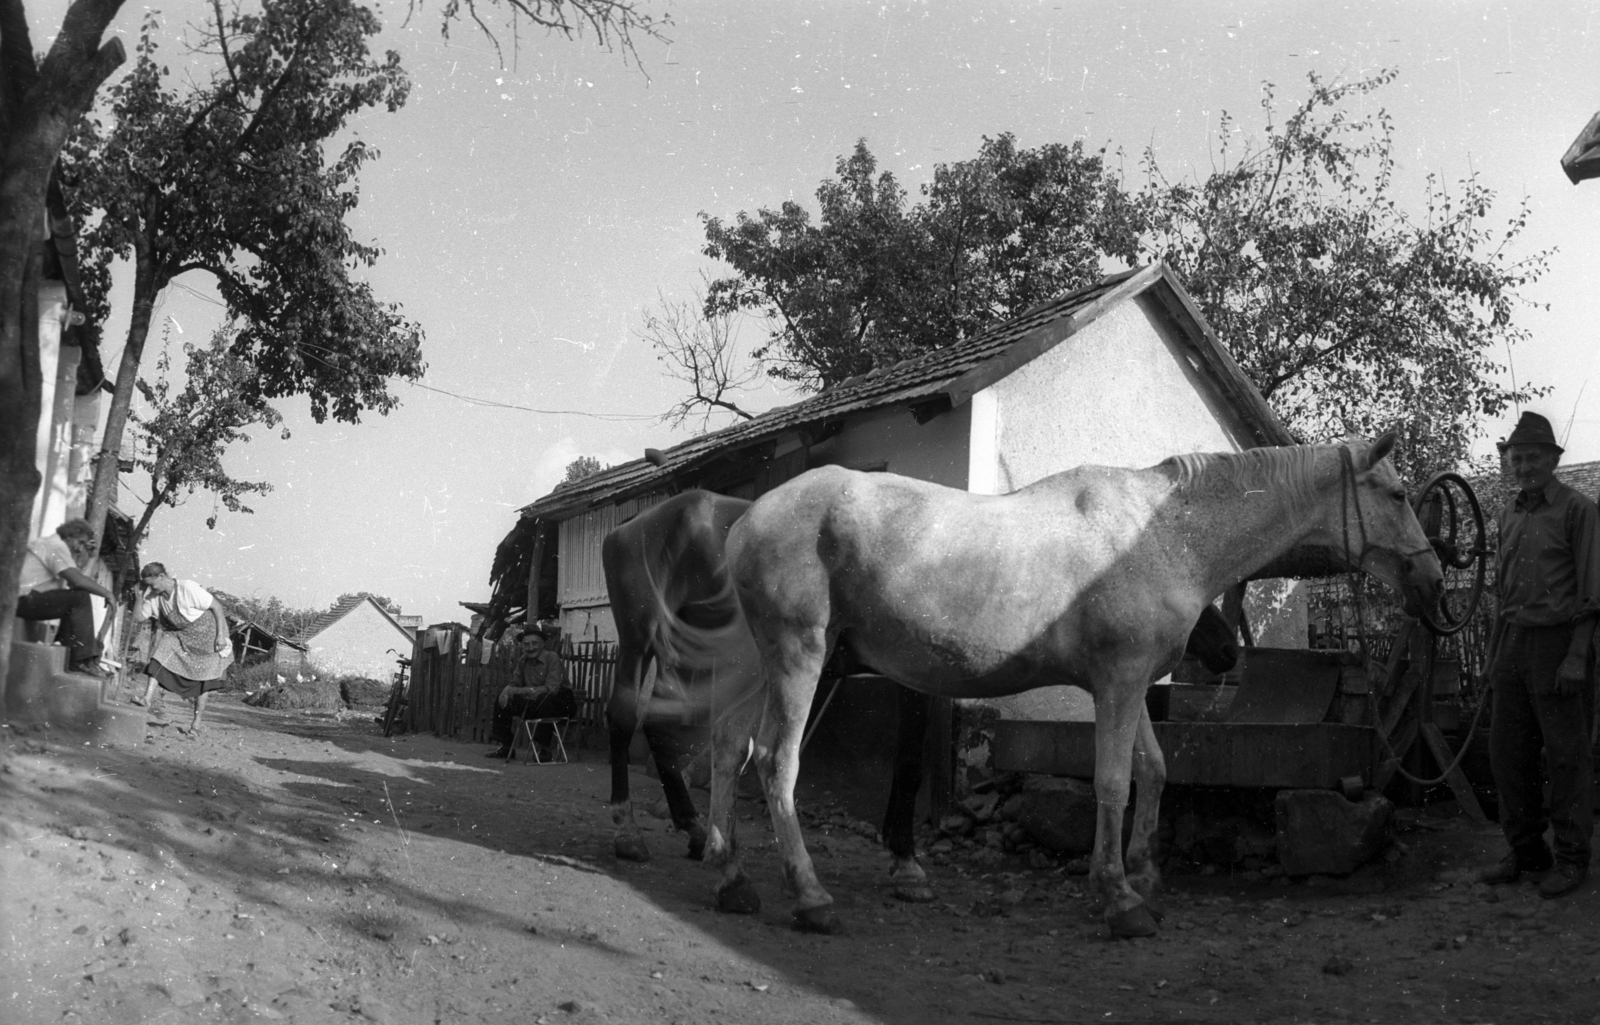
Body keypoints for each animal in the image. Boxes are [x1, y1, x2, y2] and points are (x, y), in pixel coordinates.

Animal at [710, 431, 1440, 933]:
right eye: (1399, 495)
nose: (1433, 579)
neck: (1161, 534)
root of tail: (746, 519)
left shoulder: (1131, 682)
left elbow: (1155, 769)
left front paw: (1144, 874)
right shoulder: (1117, 683)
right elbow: (1113, 782)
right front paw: (1118, 897)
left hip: (758, 667)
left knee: (726, 753)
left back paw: (732, 878)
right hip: (799, 659)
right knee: (775, 762)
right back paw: (809, 896)